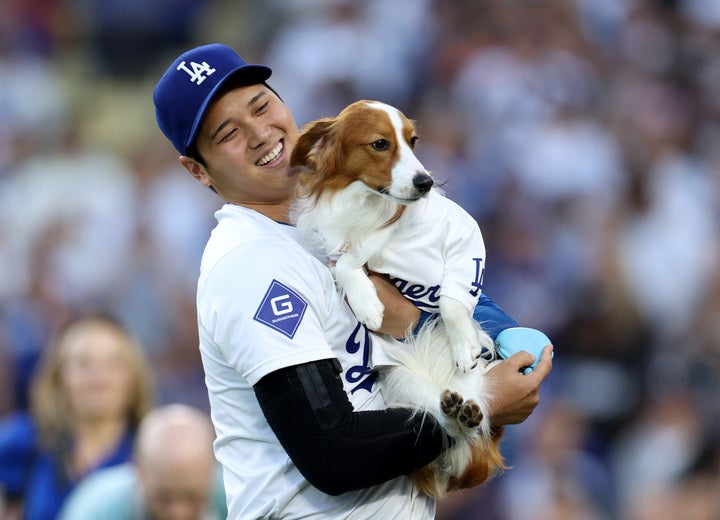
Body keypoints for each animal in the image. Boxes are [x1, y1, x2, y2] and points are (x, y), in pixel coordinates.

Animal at [288, 99, 506, 498]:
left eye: (413, 140)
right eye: (379, 143)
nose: (426, 182)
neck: (373, 208)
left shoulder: (464, 237)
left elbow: (452, 301)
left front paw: (464, 343)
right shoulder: (338, 250)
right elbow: (345, 263)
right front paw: (368, 303)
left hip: (479, 387)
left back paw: (465, 412)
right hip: (405, 382)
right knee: (442, 426)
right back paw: (453, 412)